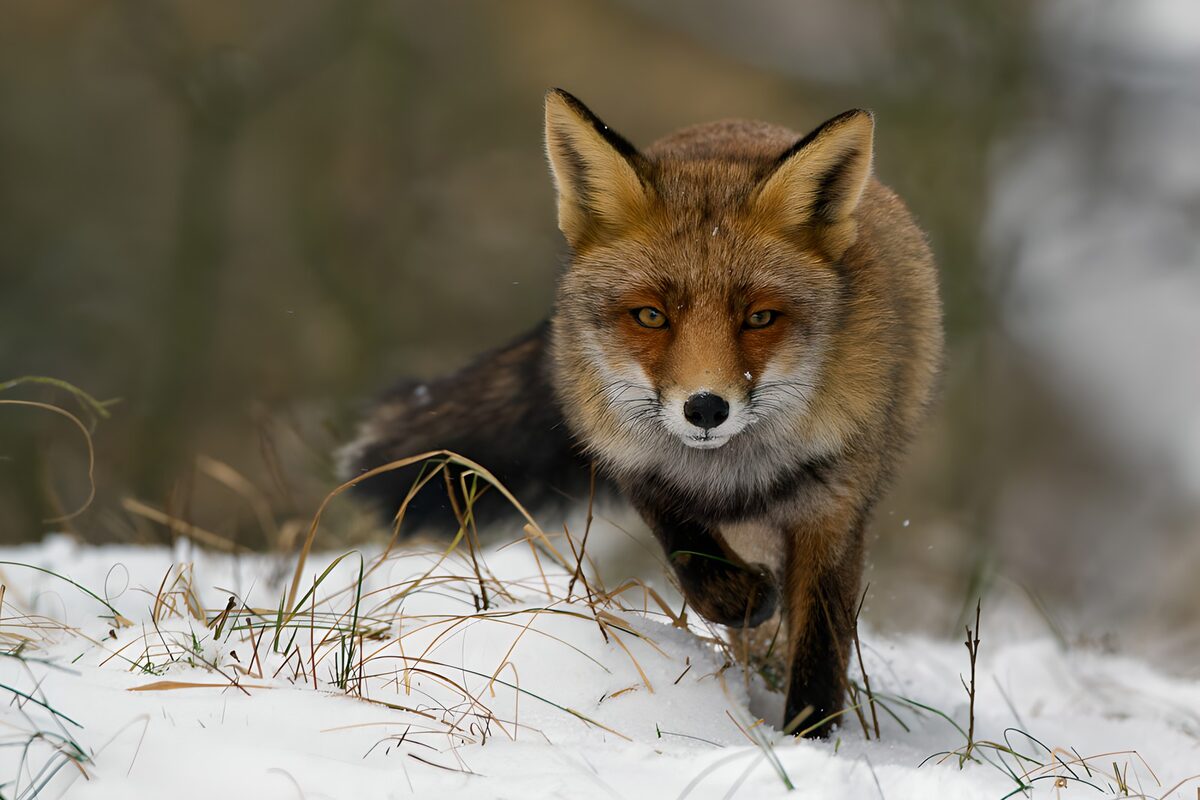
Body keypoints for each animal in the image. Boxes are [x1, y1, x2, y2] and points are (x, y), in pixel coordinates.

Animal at [341, 89, 943, 737]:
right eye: (651, 316)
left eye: (760, 318)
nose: (705, 408)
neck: (733, 475)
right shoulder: (634, 462)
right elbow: (695, 561)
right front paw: (745, 598)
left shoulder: (834, 507)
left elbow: (819, 653)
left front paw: (811, 741)